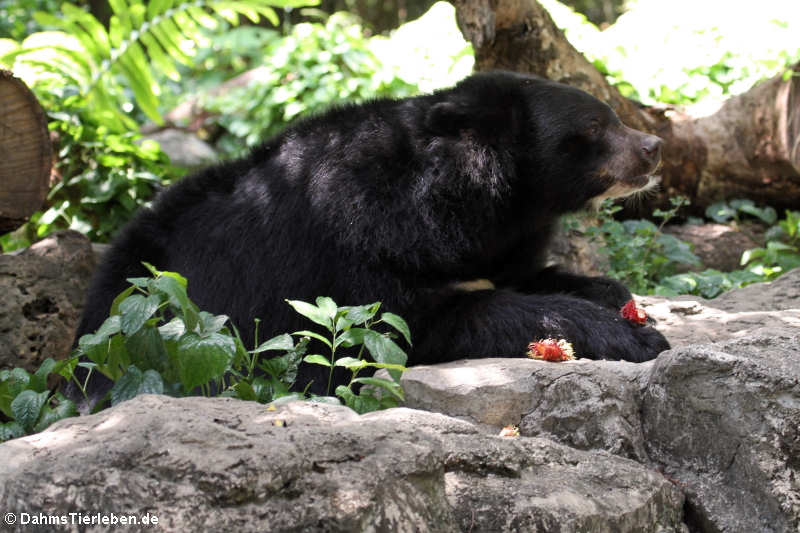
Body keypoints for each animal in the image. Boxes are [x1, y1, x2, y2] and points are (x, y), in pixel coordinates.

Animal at [78, 70, 672, 394]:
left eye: (613, 116)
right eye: (596, 126)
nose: (654, 147)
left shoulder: (499, 242)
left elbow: (523, 274)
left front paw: (614, 296)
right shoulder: (354, 241)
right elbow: (405, 321)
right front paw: (632, 336)